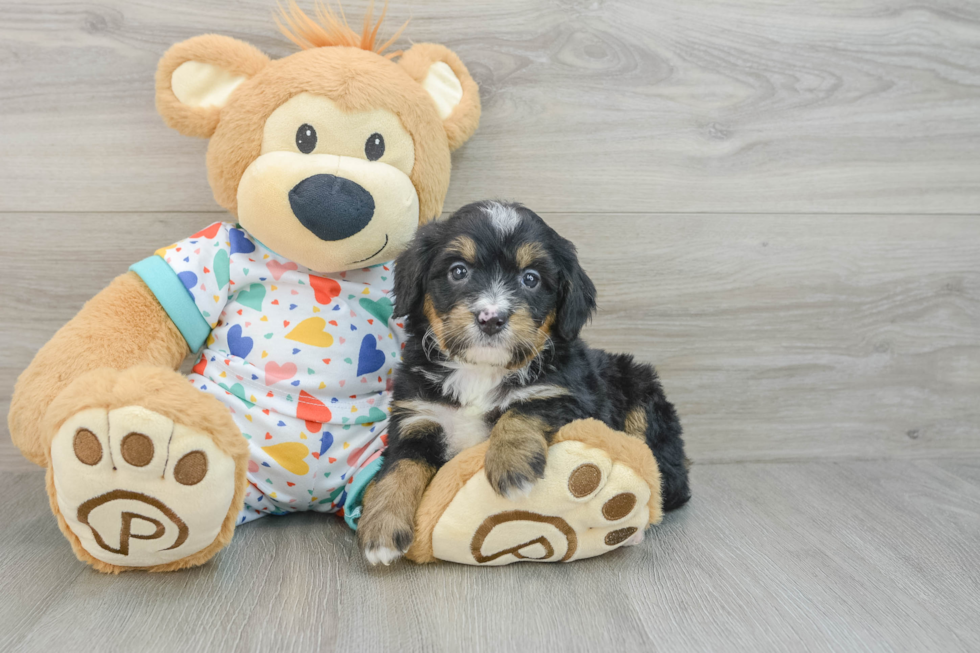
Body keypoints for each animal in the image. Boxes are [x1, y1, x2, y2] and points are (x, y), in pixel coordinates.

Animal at [358, 201, 688, 564]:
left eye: (531, 278)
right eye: (458, 271)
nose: (491, 318)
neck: (480, 371)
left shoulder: (568, 395)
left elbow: (525, 408)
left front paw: (511, 465)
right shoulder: (417, 417)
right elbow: (398, 469)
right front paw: (381, 528)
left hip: (641, 393)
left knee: (664, 480)